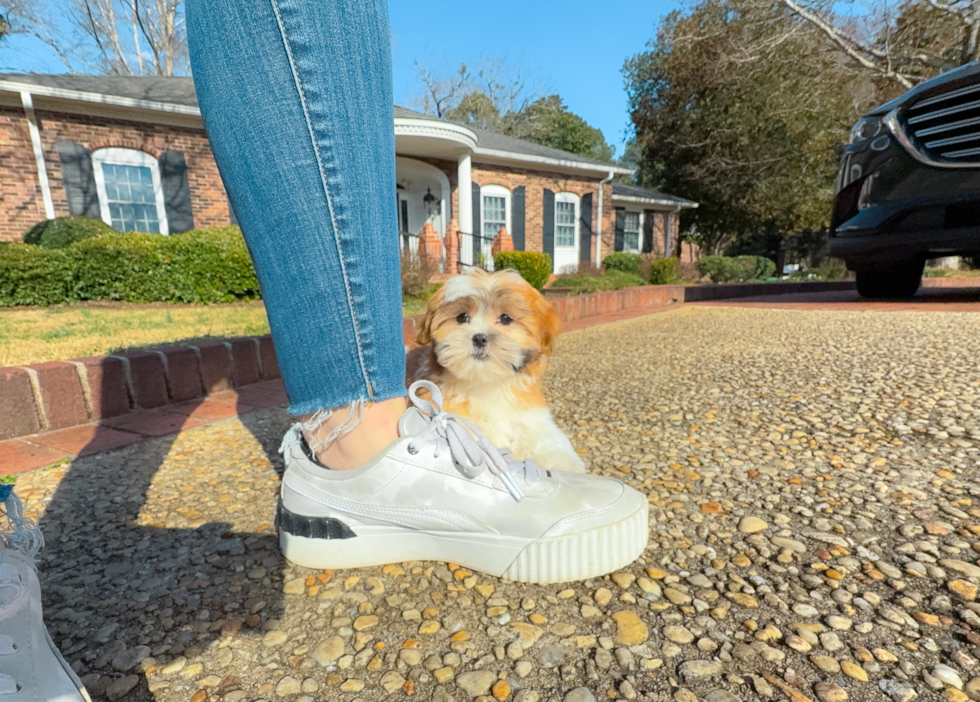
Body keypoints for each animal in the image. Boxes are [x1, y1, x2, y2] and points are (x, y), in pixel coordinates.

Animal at [408, 266, 584, 476]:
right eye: (462, 317)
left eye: (505, 318)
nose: (480, 338)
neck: (485, 383)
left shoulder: (529, 415)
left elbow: (544, 440)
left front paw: (562, 467)